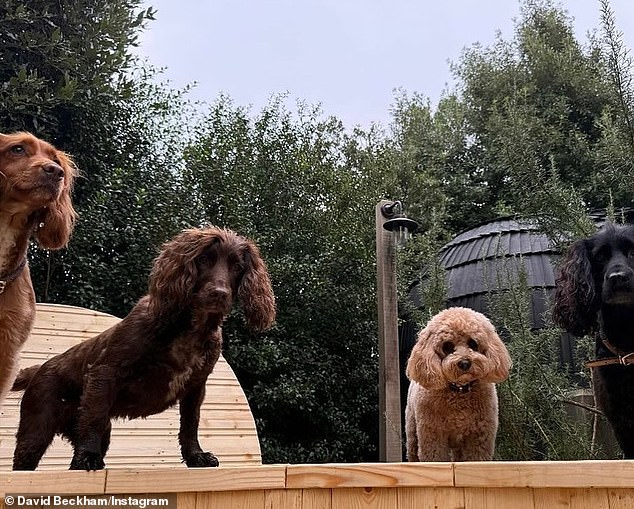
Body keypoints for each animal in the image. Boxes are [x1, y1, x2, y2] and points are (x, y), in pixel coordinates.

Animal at [11, 226, 274, 468]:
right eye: (203, 259)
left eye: (237, 266)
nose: (219, 294)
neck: (189, 328)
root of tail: (39, 368)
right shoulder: (105, 371)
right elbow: (94, 417)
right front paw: (87, 457)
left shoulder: (196, 386)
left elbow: (191, 423)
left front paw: (196, 456)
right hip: (36, 428)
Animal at [404, 306, 508, 460]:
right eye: (447, 346)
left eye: (473, 343)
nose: (464, 363)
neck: (459, 391)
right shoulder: (433, 435)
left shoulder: (479, 437)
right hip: (412, 433)